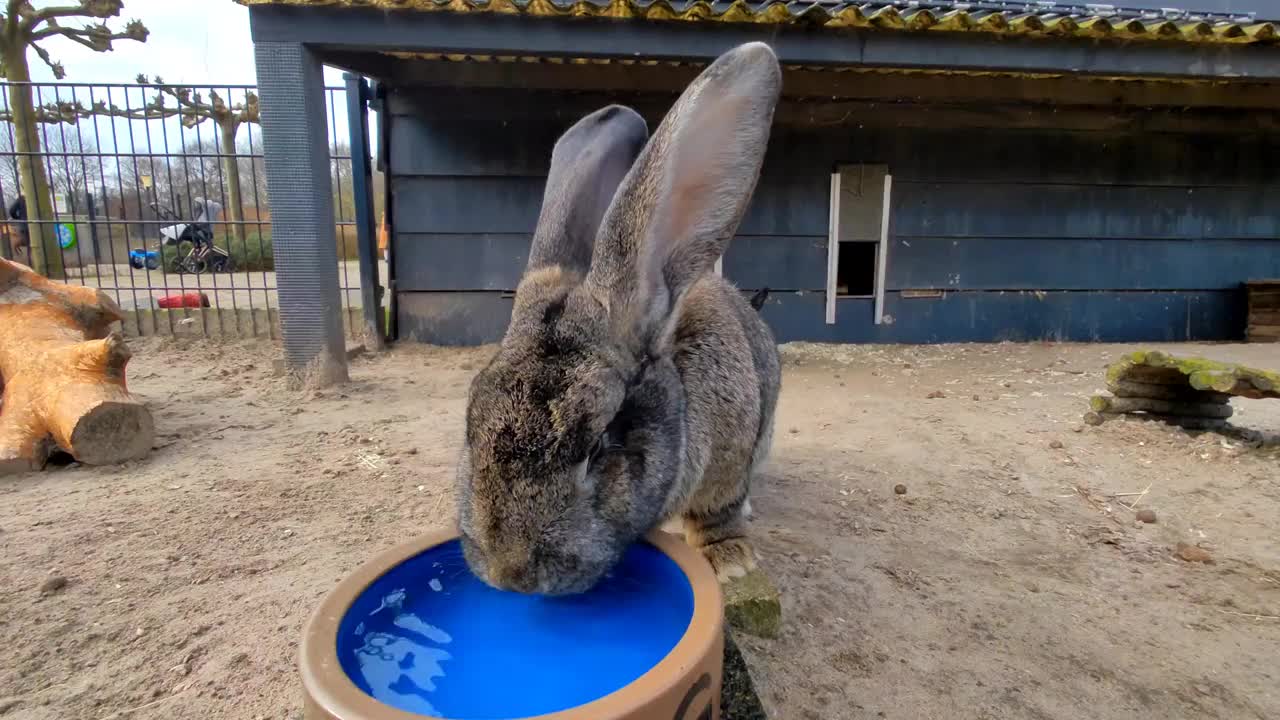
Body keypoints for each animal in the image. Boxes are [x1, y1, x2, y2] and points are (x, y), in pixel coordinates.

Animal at [455, 40, 783, 594]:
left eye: (599, 445)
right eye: (468, 425)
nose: (509, 572)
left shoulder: (730, 461)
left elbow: (718, 512)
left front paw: (729, 559)